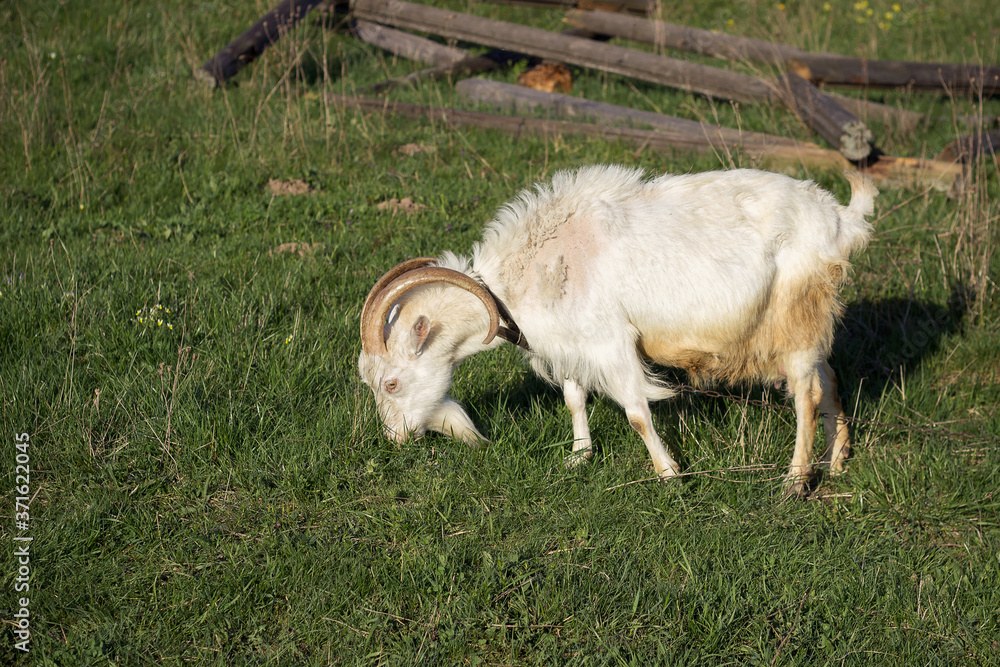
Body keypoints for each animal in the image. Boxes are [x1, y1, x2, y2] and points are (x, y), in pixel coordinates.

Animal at [358, 165, 876, 497]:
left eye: (391, 382)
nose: (395, 440)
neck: (532, 267)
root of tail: (839, 219)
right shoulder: (571, 343)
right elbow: (574, 398)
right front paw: (579, 455)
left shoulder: (610, 341)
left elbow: (636, 413)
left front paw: (669, 475)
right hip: (812, 324)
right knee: (829, 379)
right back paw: (837, 462)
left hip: (795, 315)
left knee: (807, 393)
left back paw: (794, 482)